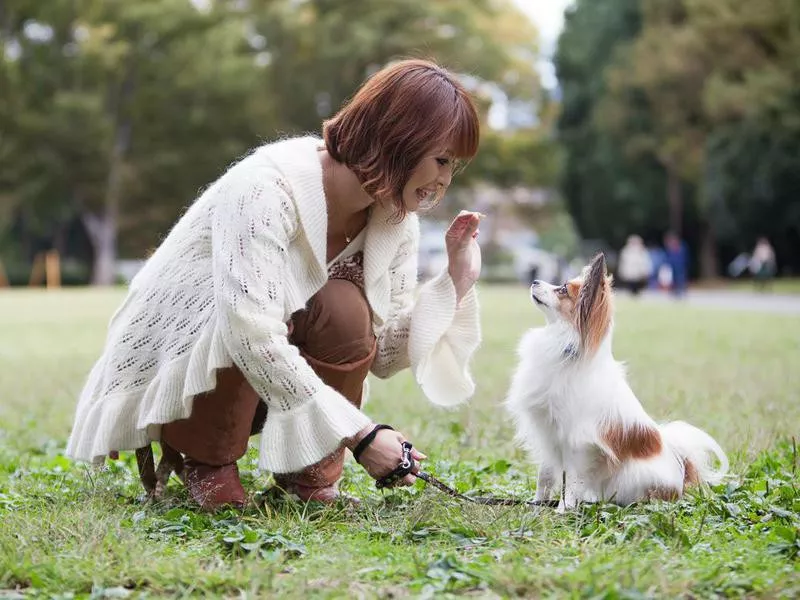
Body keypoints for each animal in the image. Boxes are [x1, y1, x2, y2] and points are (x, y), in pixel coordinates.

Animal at [510, 253, 728, 510]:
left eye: (562, 289)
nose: (534, 280)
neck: (565, 349)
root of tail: (681, 469)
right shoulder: (549, 433)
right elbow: (544, 476)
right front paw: (538, 504)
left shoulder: (576, 443)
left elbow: (571, 480)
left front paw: (564, 508)